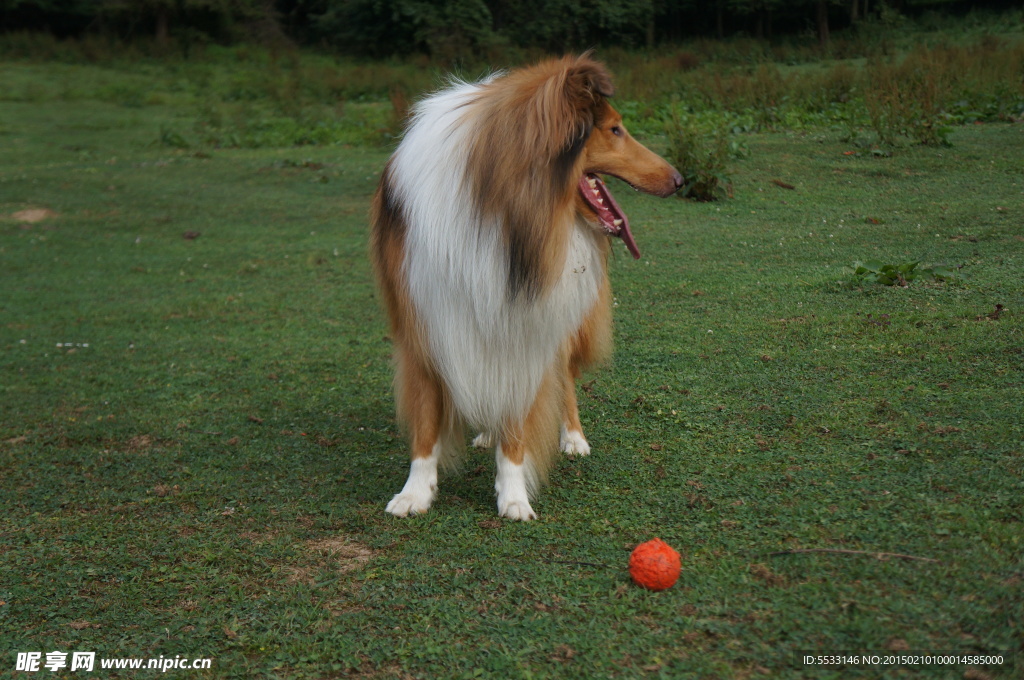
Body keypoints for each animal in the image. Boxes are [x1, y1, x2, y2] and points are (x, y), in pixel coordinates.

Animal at [368, 54, 679, 520]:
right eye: (615, 129)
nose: (679, 180)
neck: (498, 212)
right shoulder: (422, 319)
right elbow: (425, 422)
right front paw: (415, 493)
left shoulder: (526, 327)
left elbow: (519, 421)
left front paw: (513, 496)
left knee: (564, 380)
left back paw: (573, 437)